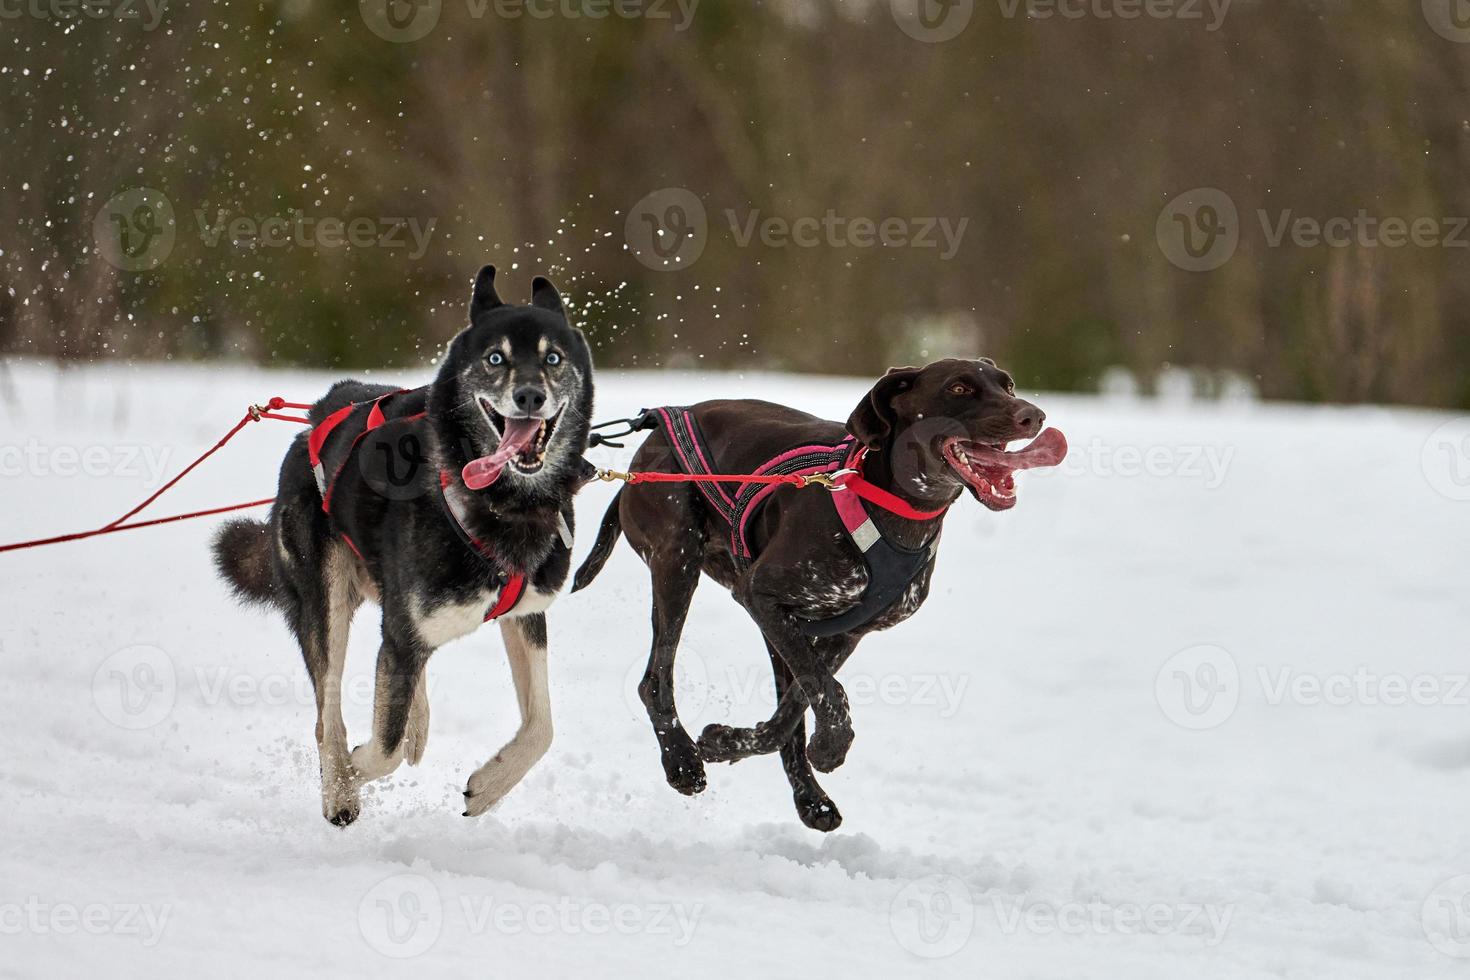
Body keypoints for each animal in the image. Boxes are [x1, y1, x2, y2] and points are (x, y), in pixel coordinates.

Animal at [567, 357, 1064, 834]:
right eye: (959, 387)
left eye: (1008, 385)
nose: (1033, 415)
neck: (893, 507)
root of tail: (649, 440)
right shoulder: (761, 595)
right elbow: (829, 694)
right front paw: (829, 745)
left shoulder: (843, 632)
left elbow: (796, 710)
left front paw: (732, 742)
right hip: (678, 559)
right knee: (655, 679)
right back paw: (681, 760)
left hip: (764, 616)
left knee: (784, 710)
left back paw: (809, 799)